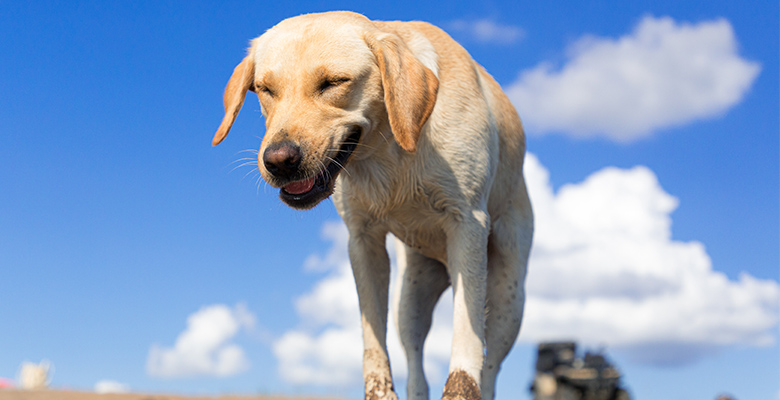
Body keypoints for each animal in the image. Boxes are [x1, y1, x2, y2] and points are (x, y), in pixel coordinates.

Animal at [212, 10, 532, 398]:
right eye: (264, 89)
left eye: (334, 82)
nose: (278, 161)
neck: (388, 152)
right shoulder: (363, 241)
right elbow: (373, 339)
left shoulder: (467, 225)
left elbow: (467, 345)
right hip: (411, 300)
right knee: (416, 365)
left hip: (508, 299)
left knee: (491, 365)